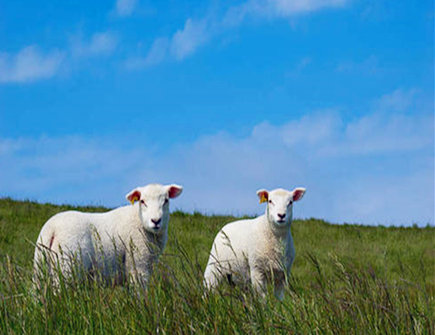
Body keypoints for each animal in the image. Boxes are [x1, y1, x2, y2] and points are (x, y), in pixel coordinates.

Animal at [32, 182, 182, 290]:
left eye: (166, 200)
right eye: (142, 201)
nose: (156, 221)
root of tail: (52, 227)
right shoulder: (138, 265)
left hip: (40, 265)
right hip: (66, 266)